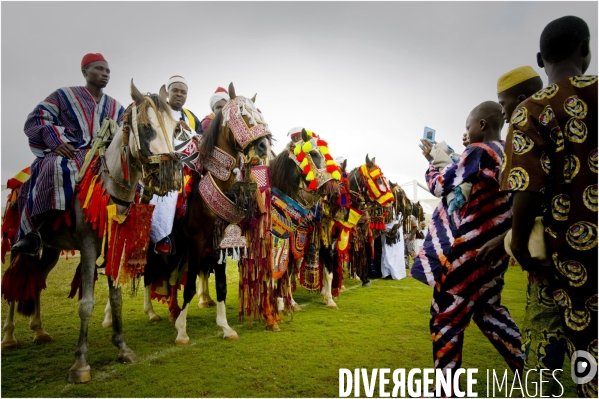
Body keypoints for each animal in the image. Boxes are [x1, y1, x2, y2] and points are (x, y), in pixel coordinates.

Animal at [0, 79, 183, 382]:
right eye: (146, 127)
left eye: (175, 127)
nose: (169, 174)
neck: (111, 188)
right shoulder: (87, 247)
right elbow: (86, 303)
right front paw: (80, 364)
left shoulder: (113, 246)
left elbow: (117, 299)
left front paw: (123, 348)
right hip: (18, 242)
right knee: (15, 282)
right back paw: (9, 337)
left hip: (50, 250)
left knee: (36, 281)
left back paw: (39, 330)